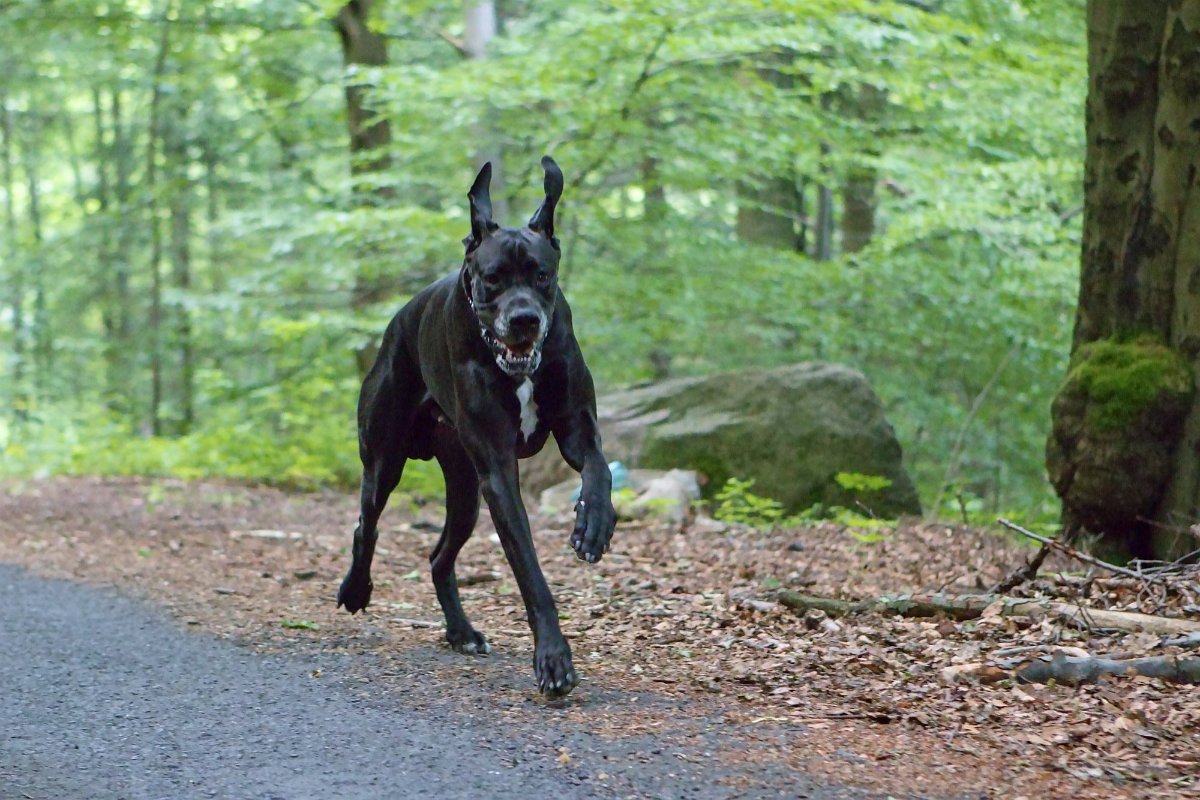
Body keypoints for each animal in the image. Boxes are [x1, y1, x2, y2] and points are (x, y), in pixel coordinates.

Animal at [338, 159, 619, 695]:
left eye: (542, 275)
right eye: (492, 278)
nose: (525, 319)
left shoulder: (577, 429)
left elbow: (599, 469)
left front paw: (593, 524)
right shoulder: (498, 471)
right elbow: (530, 570)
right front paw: (553, 659)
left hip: (465, 493)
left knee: (439, 557)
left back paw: (461, 632)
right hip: (385, 460)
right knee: (368, 524)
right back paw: (356, 587)